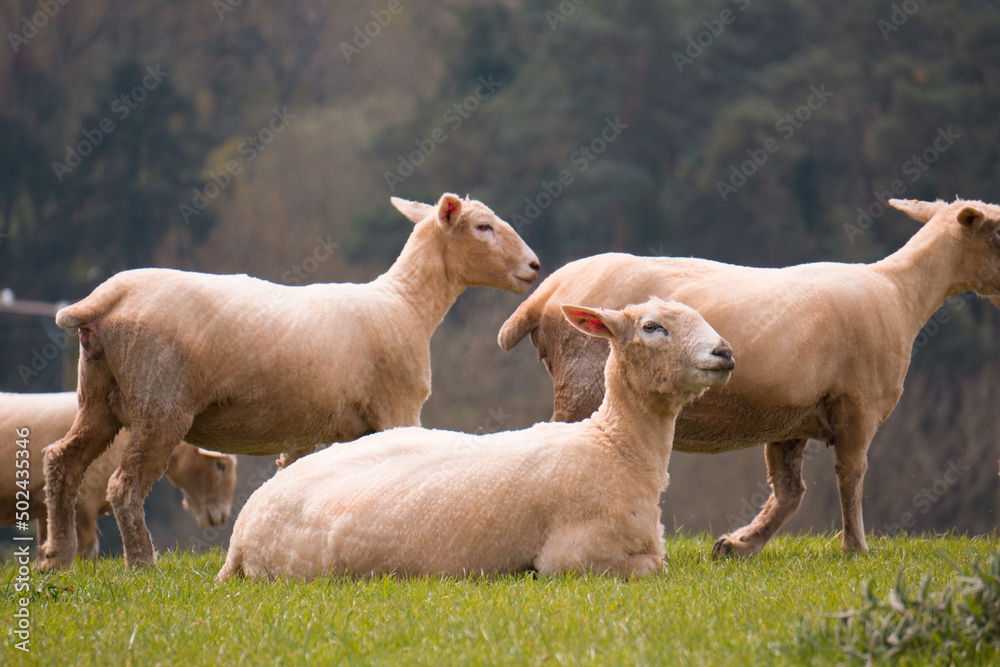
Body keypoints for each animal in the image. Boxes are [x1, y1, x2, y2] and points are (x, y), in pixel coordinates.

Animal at [39, 193, 540, 571]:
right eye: (483, 227)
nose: (534, 267)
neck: (406, 304)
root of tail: (106, 299)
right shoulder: (398, 408)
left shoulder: (317, 433)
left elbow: (292, 477)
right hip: (160, 401)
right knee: (123, 486)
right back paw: (143, 563)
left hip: (99, 396)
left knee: (62, 461)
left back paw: (56, 558)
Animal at [216, 297, 733, 581]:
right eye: (652, 327)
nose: (725, 352)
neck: (616, 447)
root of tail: (239, 536)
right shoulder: (575, 558)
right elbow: (656, 567)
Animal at [498, 197, 1000, 558]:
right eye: (997, 231)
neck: (901, 291)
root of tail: (546, 294)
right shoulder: (858, 404)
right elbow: (851, 475)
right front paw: (856, 548)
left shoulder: (791, 418)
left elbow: (790, 492)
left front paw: (739, 545)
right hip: (583, 387)